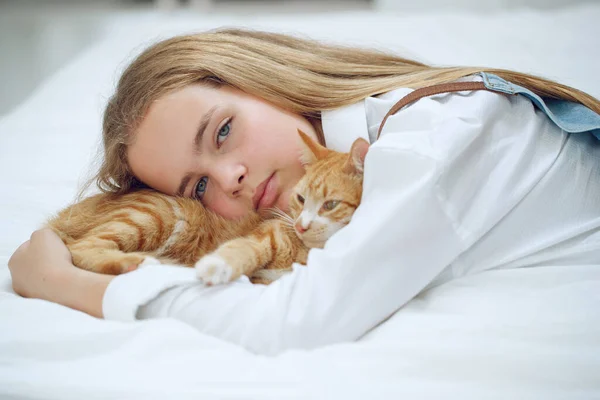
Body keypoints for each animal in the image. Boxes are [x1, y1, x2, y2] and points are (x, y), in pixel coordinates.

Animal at [47, 130, 368, 284]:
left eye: (330, 204)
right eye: (301, 199)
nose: (301, 225)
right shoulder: (264, 237)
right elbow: (242, 249)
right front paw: (217, 266)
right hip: (153, 215)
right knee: (81, 248)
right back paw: (137, 263)